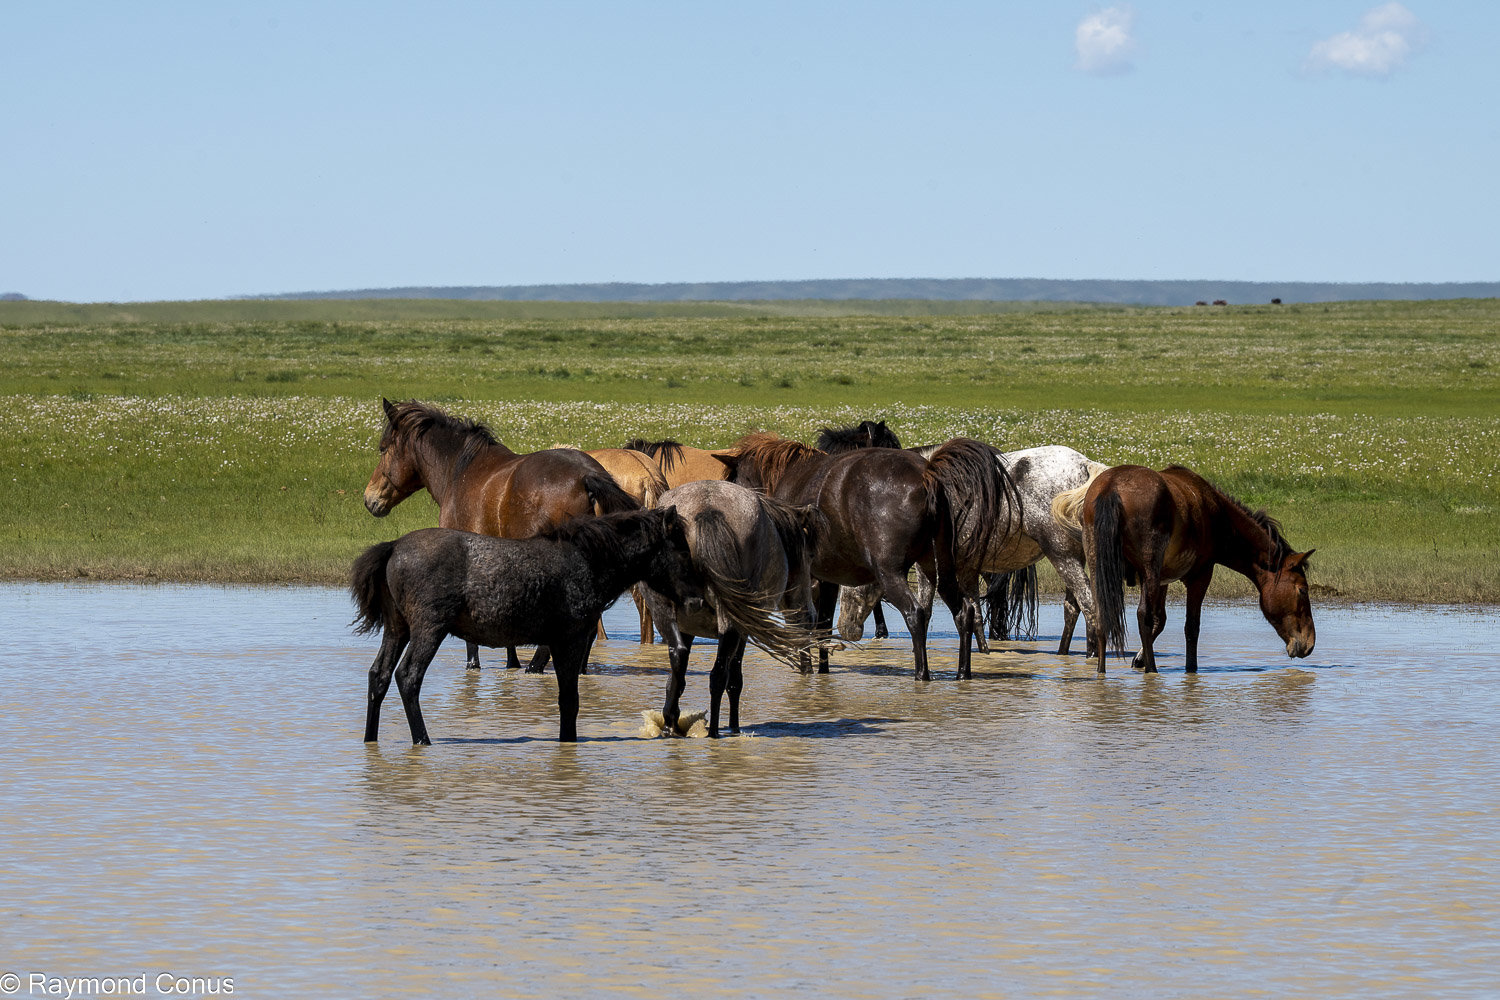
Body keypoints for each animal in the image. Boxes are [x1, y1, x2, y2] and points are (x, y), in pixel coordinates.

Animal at [351, 507, 708, 744]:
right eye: (681, 548)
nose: (697, 599)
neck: (587, 562)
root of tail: (394, 547)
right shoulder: (568, 641)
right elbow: (569, 701)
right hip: (428, 629)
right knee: (408, 677)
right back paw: (422, 740)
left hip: (397, 630)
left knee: (379, 676)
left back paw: (371, 739)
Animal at [362, 398, 637, 672]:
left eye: (383, 449)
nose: (369, 499)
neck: (461, 471)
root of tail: (588, 475)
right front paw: (511, 661)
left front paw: (473, 663)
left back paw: (535, 666)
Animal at [639, 480, 824, 738]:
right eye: (810, 555)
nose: (810, 617)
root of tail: (707, 507)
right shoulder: (742, 631)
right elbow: (735, 680)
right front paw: (734, 726)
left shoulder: (686, 628)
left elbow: (678, 678)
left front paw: (672, 718)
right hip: (731, 625)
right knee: (719, 676)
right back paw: (715, 731)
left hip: (664, 612)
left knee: (680, 659)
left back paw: (671, 724)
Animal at [716, 435, 1016, 681]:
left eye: (731, 479)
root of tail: (926, 474)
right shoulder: (827, 578)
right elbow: (823, 624)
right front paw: (822, 670)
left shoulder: (804, 576)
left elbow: (803, 620)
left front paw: (806, 668)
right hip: (939, 567)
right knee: (964, 611)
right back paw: (963, 672)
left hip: (891, 573)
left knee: (915, 614)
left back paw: (922, 674)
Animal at [1067, 464, 1316, 674]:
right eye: (1303, 590)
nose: (1309, 644)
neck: (1219, 517)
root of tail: (1111, 487)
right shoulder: (1200, 575)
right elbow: (1190, 627)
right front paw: (1189, 669)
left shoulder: (1162, 580)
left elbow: (1160, 620)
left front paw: (1139, 659)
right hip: (1149, 569)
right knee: (1142, 616)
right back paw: (1152, 670)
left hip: (1101, 568)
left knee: (1101, 614)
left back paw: (1101, 672)